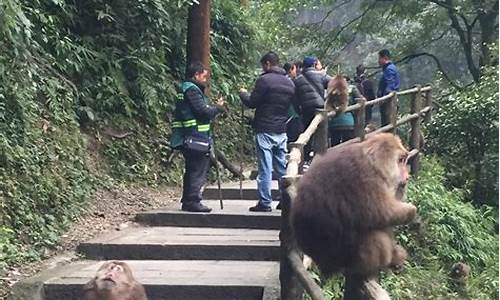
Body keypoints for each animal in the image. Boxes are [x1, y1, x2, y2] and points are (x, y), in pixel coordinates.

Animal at [290, 134, 418, 278]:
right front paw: (412, 209)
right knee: (373, 233)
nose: (407, 176)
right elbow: (381, 212)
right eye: (401, 160)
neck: (374, 164)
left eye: (404, 160)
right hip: (346, 258)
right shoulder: (364, 177)